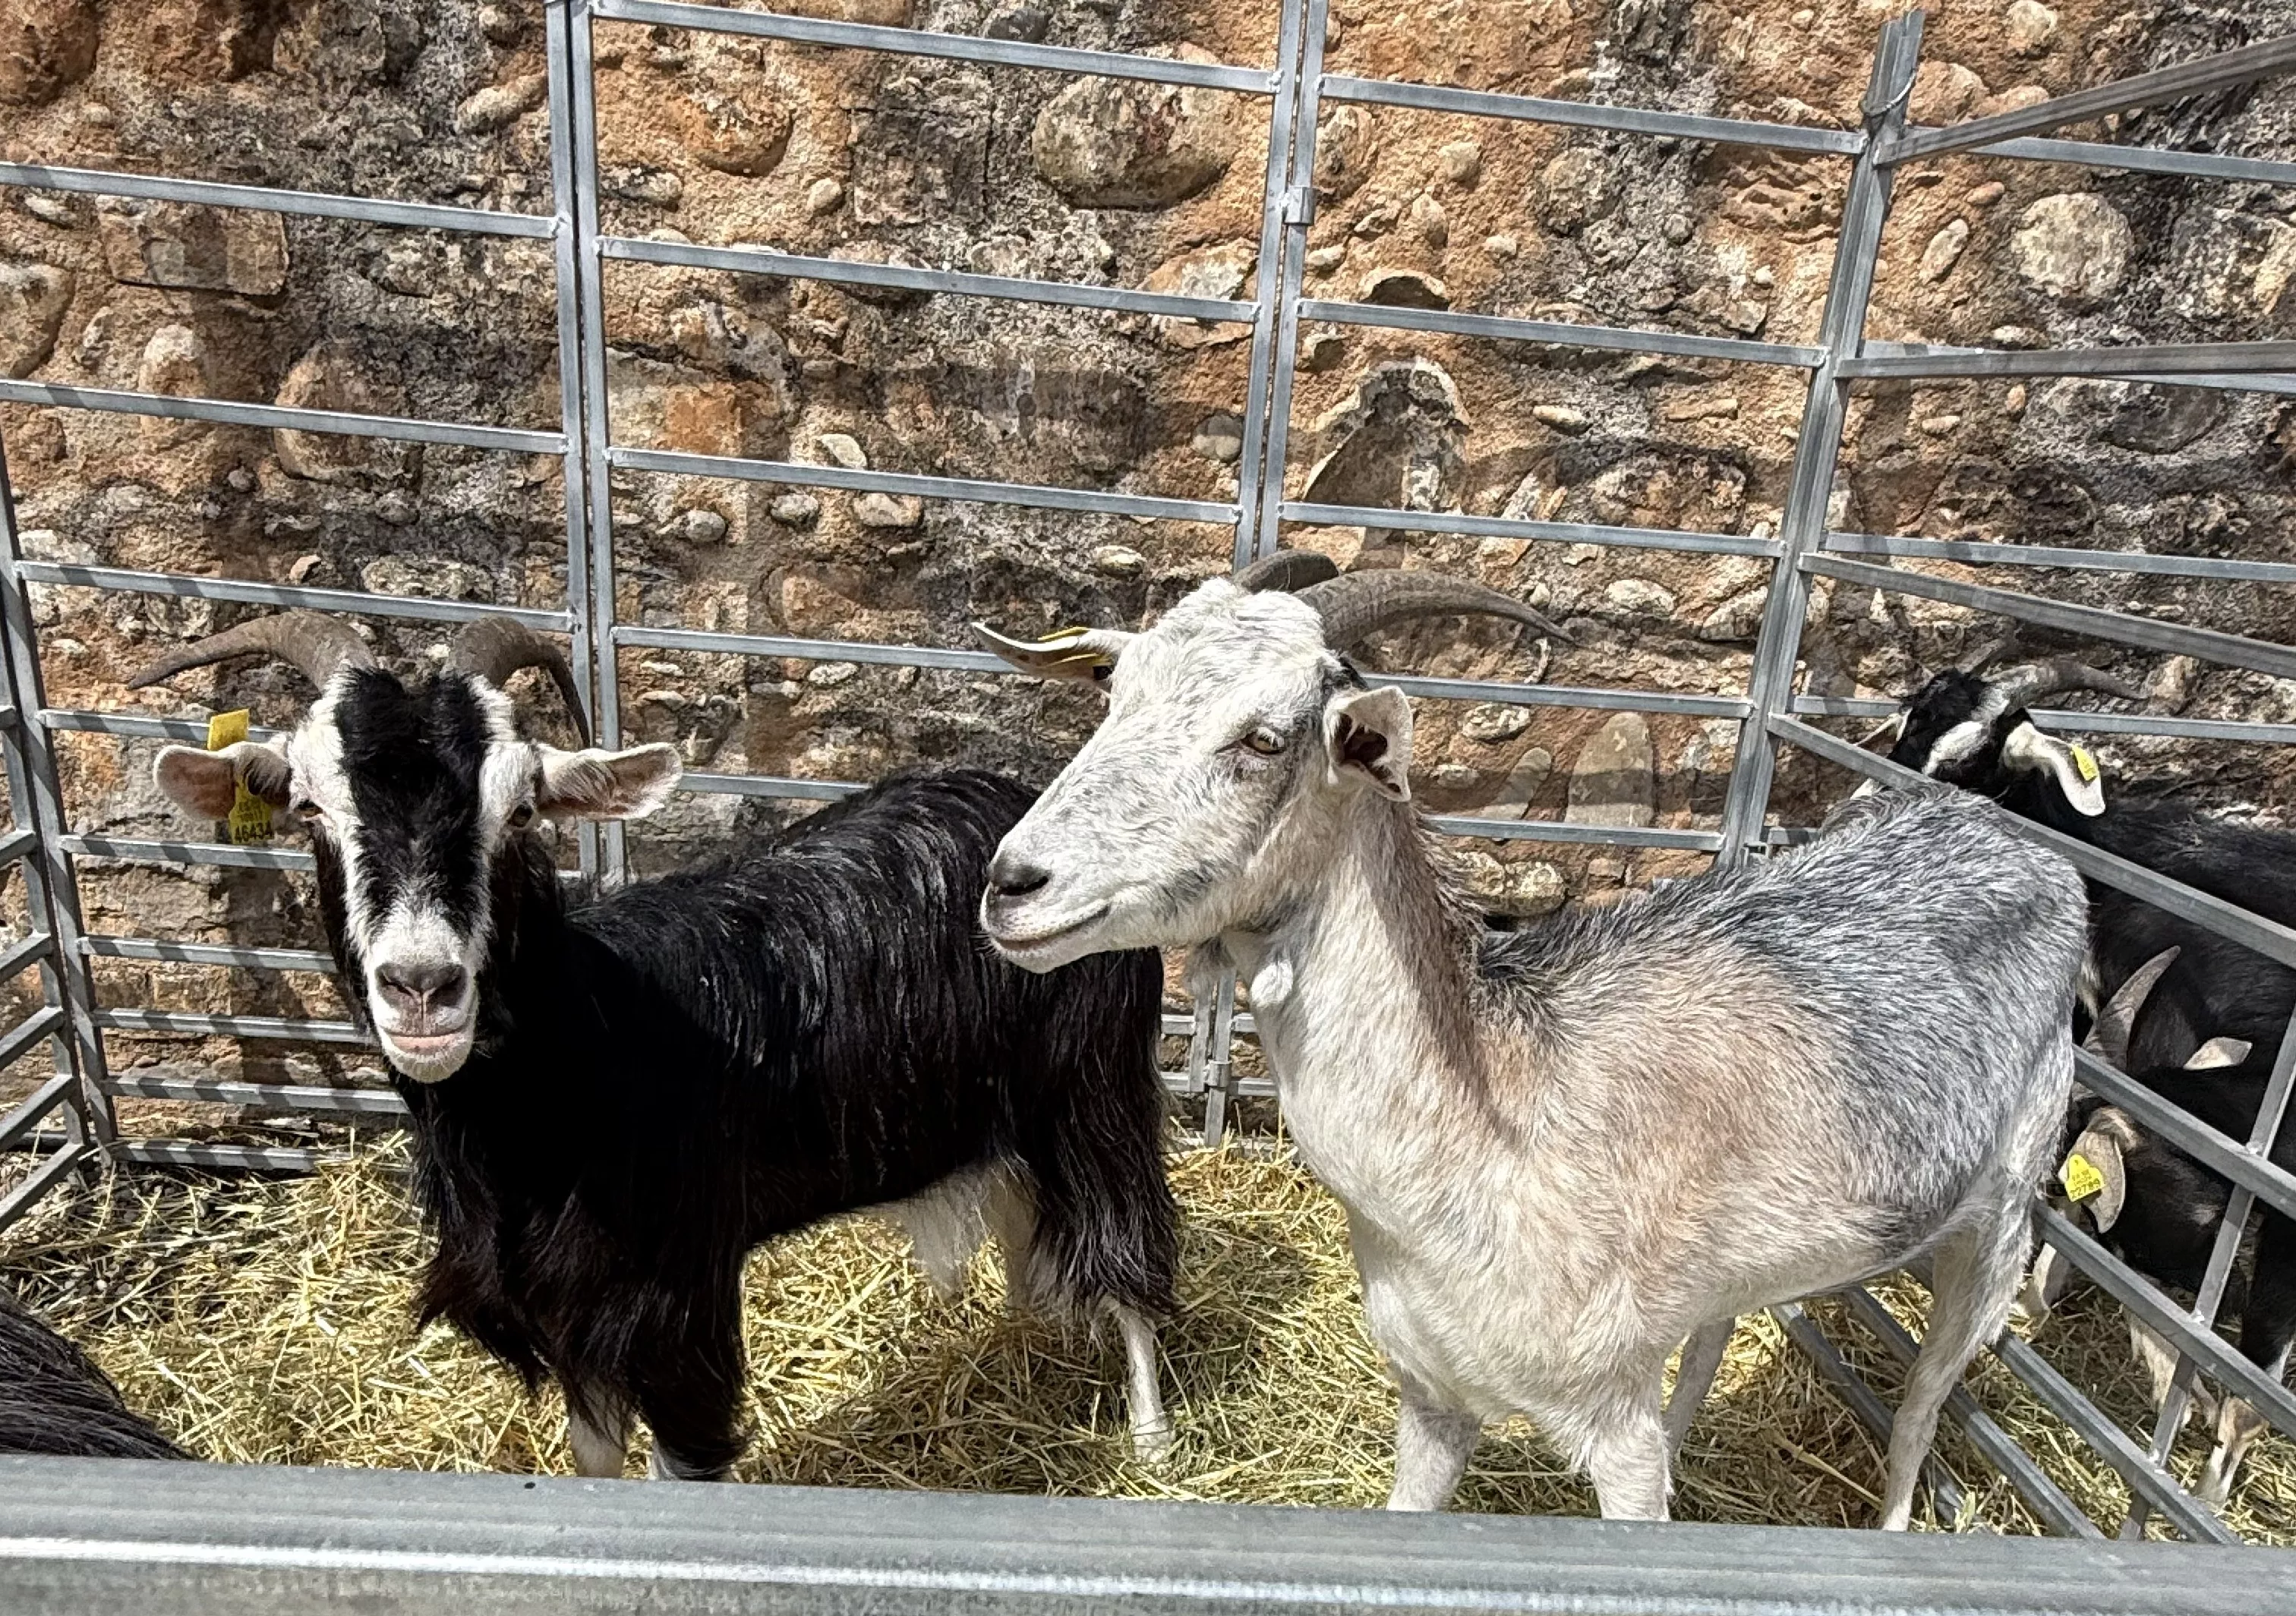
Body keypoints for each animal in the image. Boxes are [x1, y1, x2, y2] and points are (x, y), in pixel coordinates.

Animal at [137, 612, 1178, 1480]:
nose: (423, 987)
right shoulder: (564, 1311)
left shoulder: (676, 1304)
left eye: (521, 811)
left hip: (1094, 1086)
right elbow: (595, 1457)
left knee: (1128, 1248)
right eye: (310, 808)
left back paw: (1152, 1443)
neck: (587, 1051)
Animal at [970, 564, 2085, 1526]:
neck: (1494, 1123)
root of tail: (2014, 840)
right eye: (1115, 692)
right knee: (1721, 1330)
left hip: (2000, 1224)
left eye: (1264, 737)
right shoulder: (1432, 1398)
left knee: (1919, 1407)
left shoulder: (1611, 1422)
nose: (1012, 883)